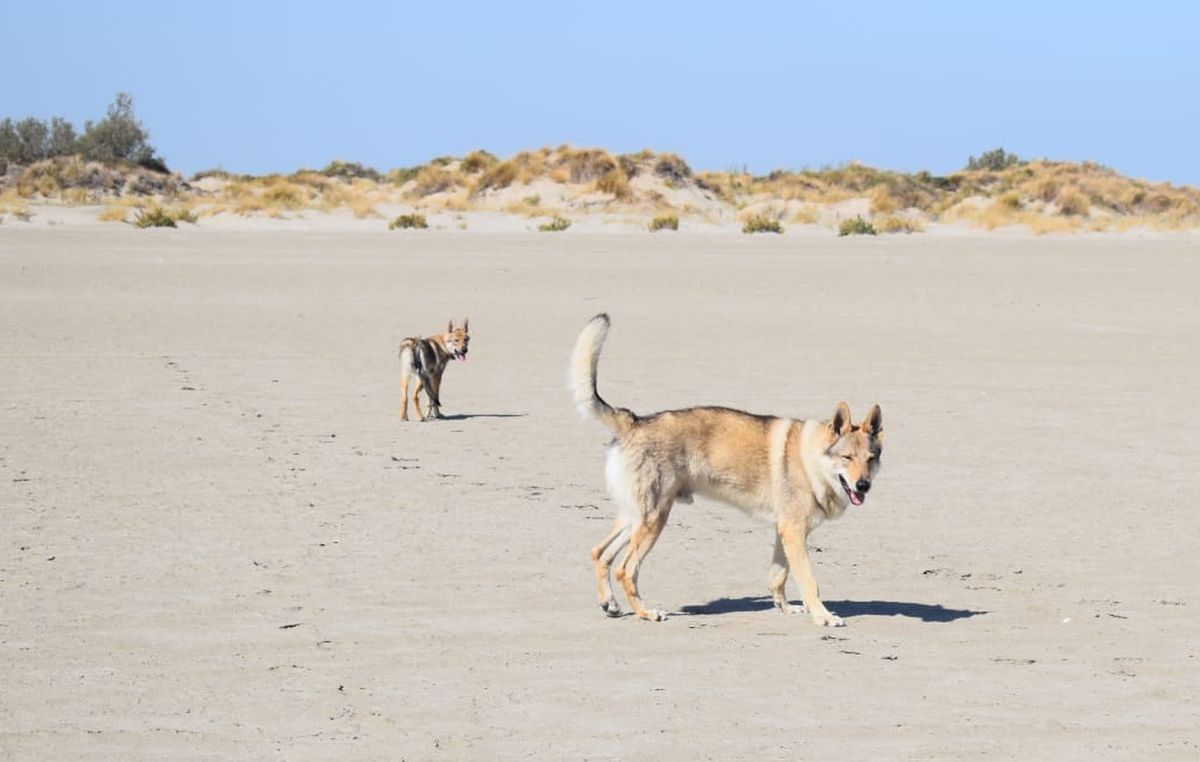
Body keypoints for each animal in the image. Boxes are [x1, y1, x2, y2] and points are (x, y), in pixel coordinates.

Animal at [566, 314, 888, 624]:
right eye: (847, 458)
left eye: (871, 459)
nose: (863, 486)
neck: (811, 462)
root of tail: (635, 421)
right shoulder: (794, 532)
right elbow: (809, 582)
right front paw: (823, 617)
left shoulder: (785, 532)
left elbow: (778, 577)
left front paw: (786, 609)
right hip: (654, 520)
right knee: (625, 569)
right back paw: (646, 613)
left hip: (637, 517)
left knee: (600, 554)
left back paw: (610, 604)